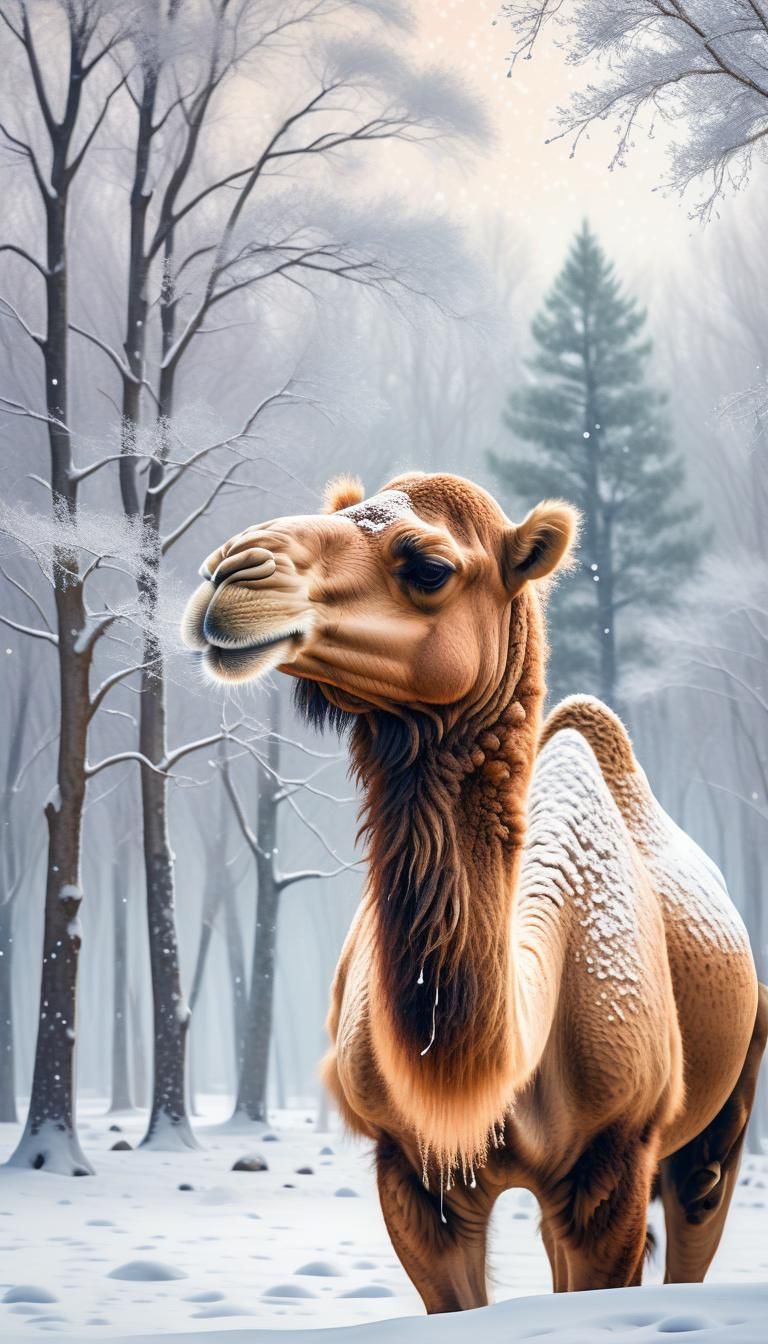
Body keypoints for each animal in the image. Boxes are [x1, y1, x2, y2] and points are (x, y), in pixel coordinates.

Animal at [183, 471, 767, 1309]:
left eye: (428, 566)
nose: (229, 573)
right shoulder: (410, 1167)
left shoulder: (614, 1159)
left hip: (719, 1117)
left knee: (698, 1209)